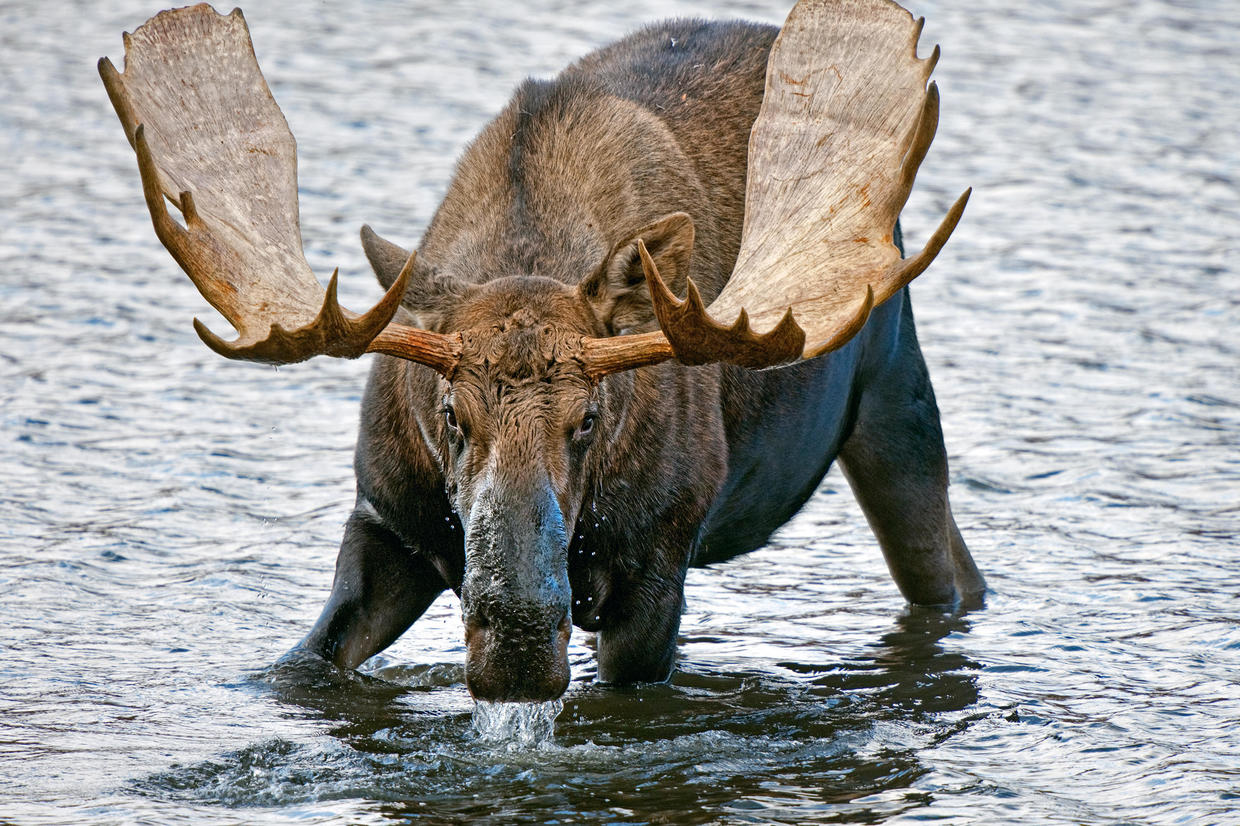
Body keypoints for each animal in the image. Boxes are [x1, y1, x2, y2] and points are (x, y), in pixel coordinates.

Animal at [101, 0, 982, 699]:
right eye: (450, 416)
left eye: (588, 419)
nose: (516, 647)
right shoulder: (386, 523)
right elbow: (301, 664)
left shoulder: (658, 567)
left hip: (897, 399)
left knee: (951, 572)